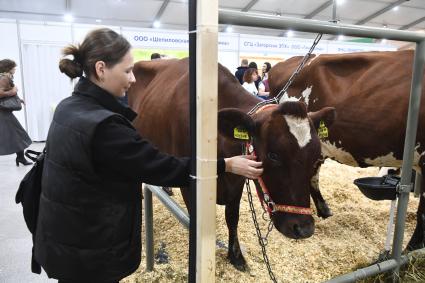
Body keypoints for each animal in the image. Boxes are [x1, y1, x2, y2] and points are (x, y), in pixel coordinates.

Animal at [126, 58, 334, 270]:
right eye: (273, 155)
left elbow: (232, 217)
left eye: (315, 157)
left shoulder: (237, 180)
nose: (303, 228)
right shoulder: (191, 185)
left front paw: (236, 256)